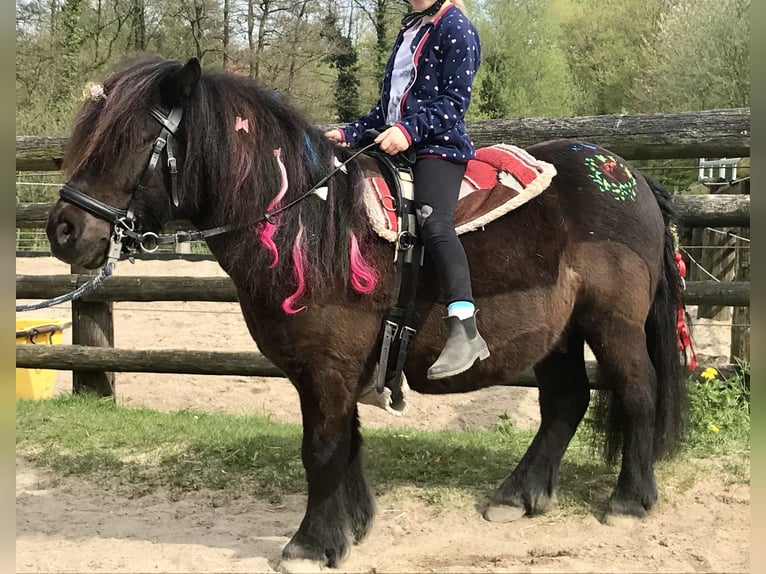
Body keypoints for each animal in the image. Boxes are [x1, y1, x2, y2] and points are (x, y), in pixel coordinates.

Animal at [45, 57, 688, 572]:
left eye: (132, 140)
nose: (63, 230)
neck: (311, 225)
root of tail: (628, 174)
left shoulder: (327, 367)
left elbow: (321, 448)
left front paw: (310, 544)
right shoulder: (329, 370)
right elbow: (346, 442)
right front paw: (350, 528)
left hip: (613, 325)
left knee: (638, 392)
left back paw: (630, 501)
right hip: (556, 333)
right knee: (565, 401)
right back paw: (518, 494)